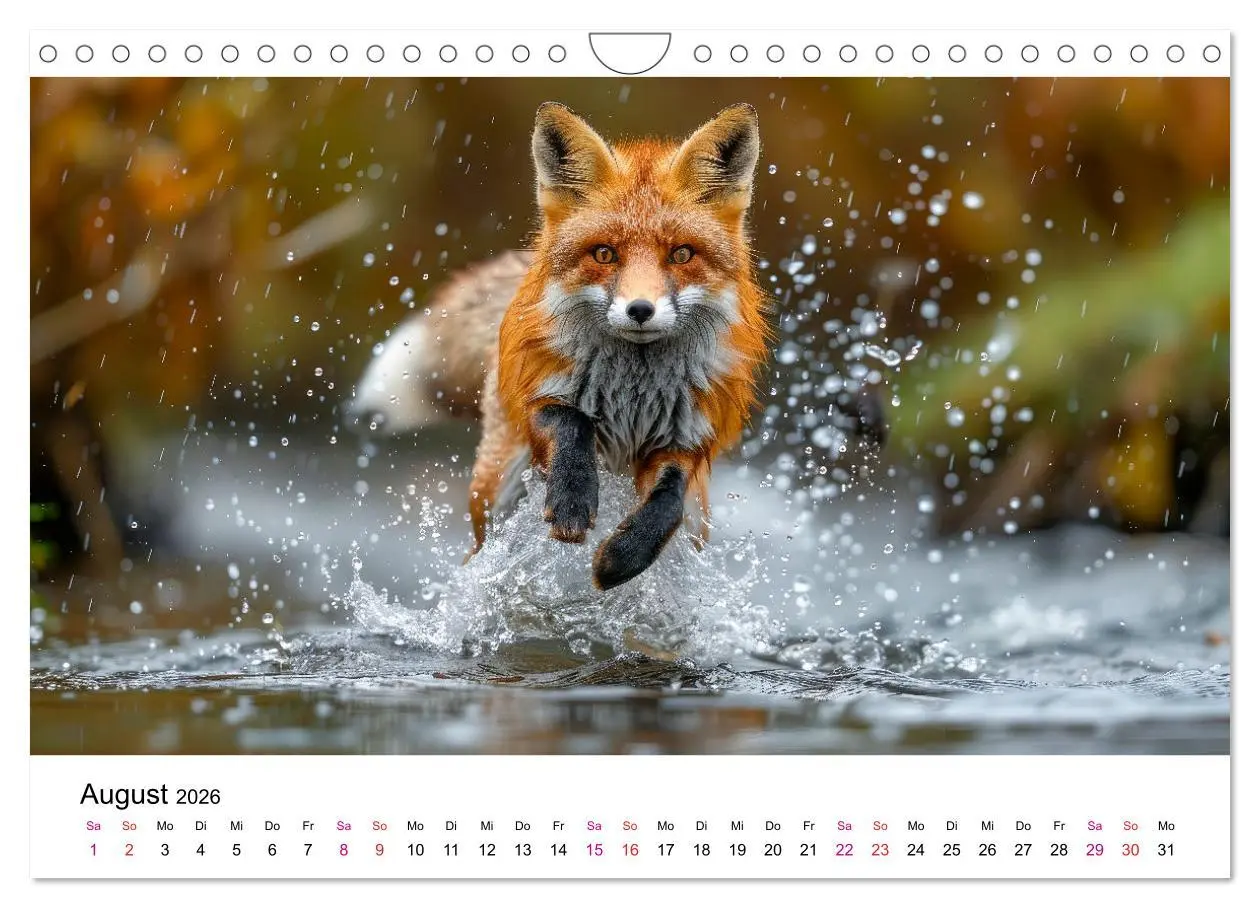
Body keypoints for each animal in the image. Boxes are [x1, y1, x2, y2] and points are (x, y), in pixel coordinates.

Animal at [349, 102, 884, 590]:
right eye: (605, 254)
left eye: (682, 254)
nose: (640, 310)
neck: (634, 388)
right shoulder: (536, 397)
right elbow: (571, 420)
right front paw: (572, 499)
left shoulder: (688, 438)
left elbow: (668, 500)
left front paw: (623, 557)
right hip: (497, 488)